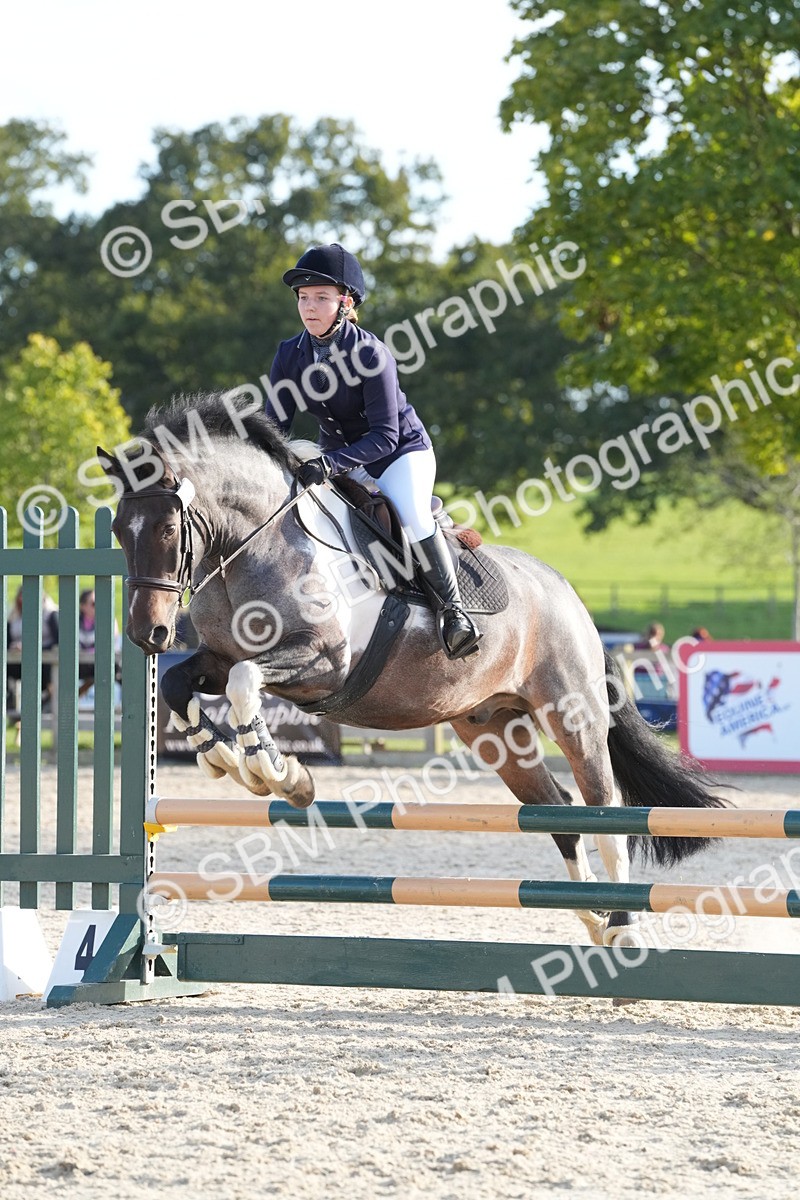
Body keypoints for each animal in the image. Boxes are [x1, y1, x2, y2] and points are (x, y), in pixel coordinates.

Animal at [99, 393, 725, 948]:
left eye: (166, 529)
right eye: (117, 530)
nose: (148, 635)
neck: (254, 546)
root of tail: (569, 596)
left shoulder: (325, 663)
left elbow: (245, 683)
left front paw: (279, 774)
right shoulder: (219, 656)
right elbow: (180, 682)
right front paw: (222, 756)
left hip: (572, 714)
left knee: (607, 811)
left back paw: (623, 925)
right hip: (495, 728)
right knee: (563, 814)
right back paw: (595, 922)